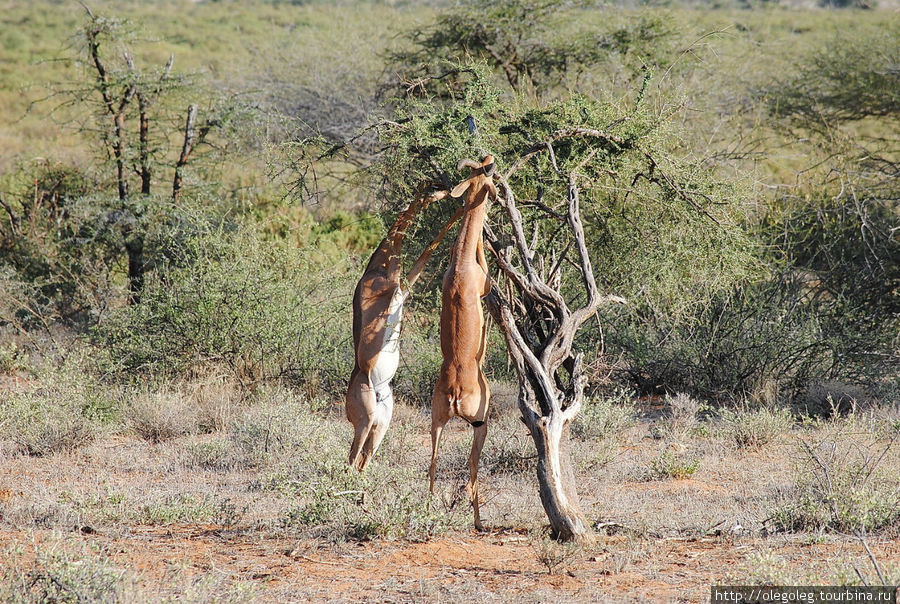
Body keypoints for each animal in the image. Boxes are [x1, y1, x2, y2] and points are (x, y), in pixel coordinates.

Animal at [344, 189, 464, 472]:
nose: (443, 191)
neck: (374, 270)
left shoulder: (405, 289)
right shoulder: (401, 288)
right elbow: (430, 246)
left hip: (380, 426)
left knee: (362, 462)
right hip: (366, 422)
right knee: (351, 461)